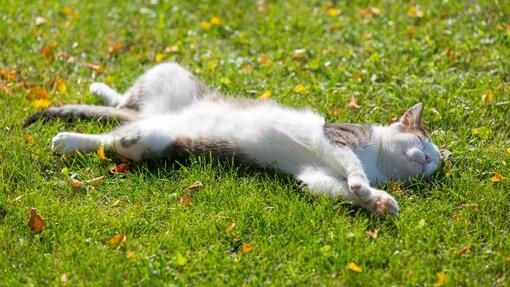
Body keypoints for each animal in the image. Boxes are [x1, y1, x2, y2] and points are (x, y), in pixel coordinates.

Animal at [23, 63, 440, 216]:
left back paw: (68, 140)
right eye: (424, 142)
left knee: (111, 137)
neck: (378, 161)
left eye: (435, 162)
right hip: (168, 74)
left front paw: (378, 201)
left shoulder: (313, 174)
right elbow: (351, 167)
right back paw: (89, 104)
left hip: (148, 141)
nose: (429, 161)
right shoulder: (336, 139)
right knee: (120, 107)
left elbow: (331, 187)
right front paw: (364, 186)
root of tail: (150, 118)